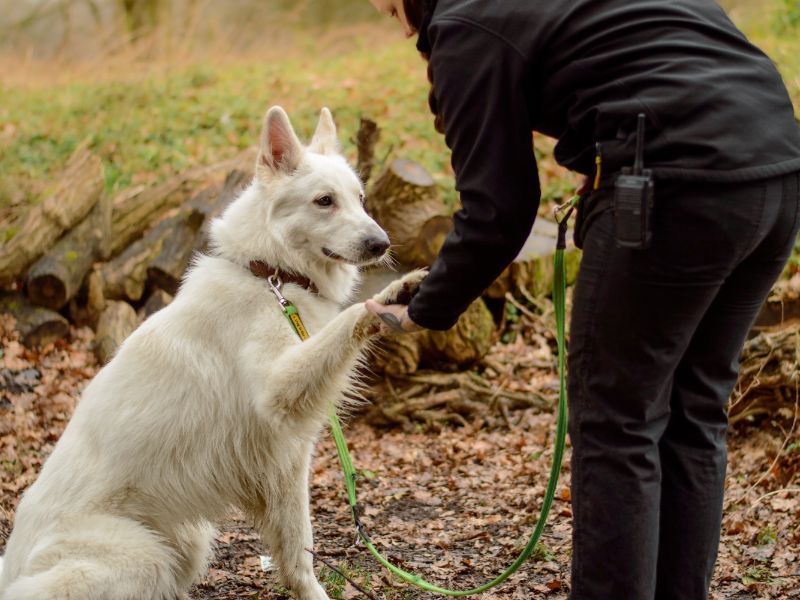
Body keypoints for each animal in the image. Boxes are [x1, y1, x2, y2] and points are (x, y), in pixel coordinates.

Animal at [0, 105, 424, 596]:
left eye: (360, 198)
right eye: (324, 201)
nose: (382, 244)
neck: (270, 276)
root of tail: (11, 567)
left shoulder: (284, 462)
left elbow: (296, 552)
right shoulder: (280, 396)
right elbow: (349, 319)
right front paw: (392, 293)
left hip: (188, 541)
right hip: (143, 557)